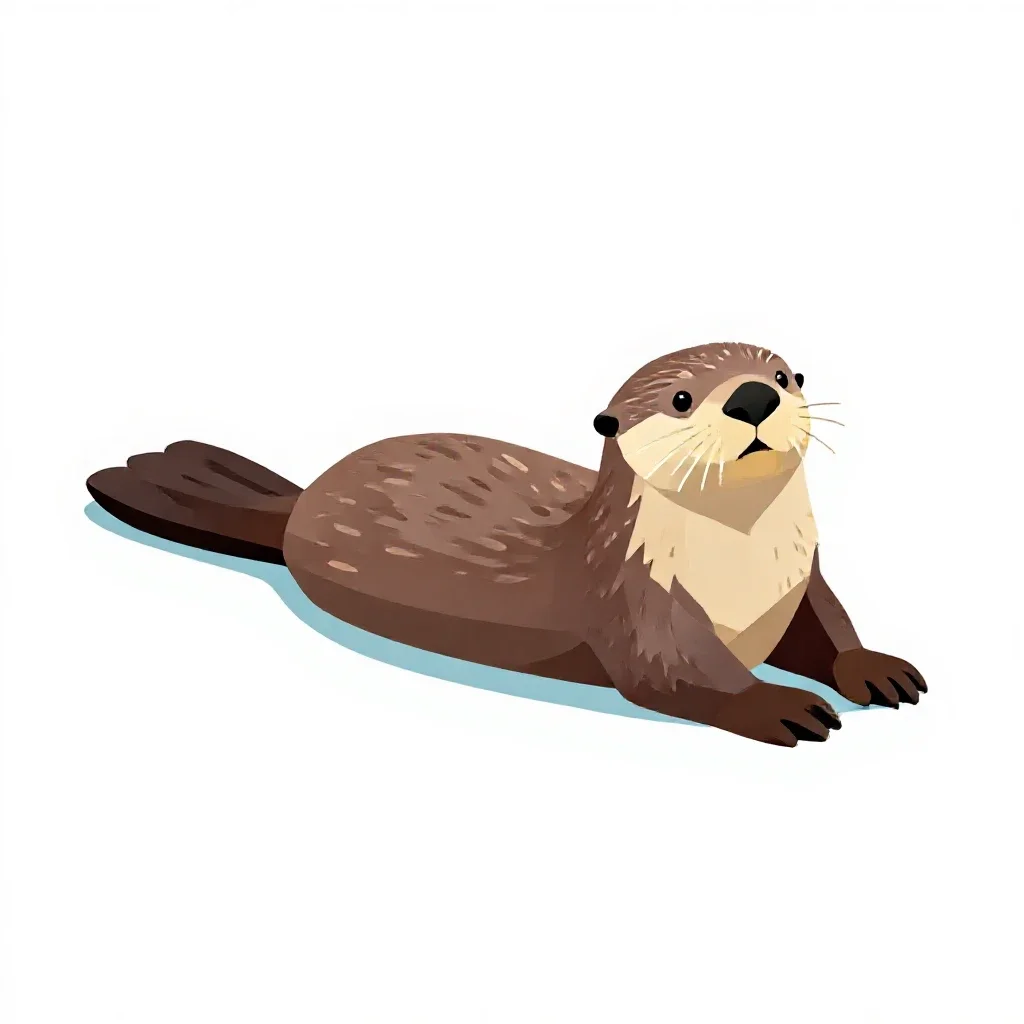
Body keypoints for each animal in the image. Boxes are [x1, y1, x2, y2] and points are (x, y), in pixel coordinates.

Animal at [86, 342, 926, 746]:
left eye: (784, 375)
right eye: (683, 399)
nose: (752, 397)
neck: (745, 570)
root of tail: (295, 504)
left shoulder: (803, 581)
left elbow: (830, 629)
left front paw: (875, 669)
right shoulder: (637, 598)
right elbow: (675, 671)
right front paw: (778, 703)